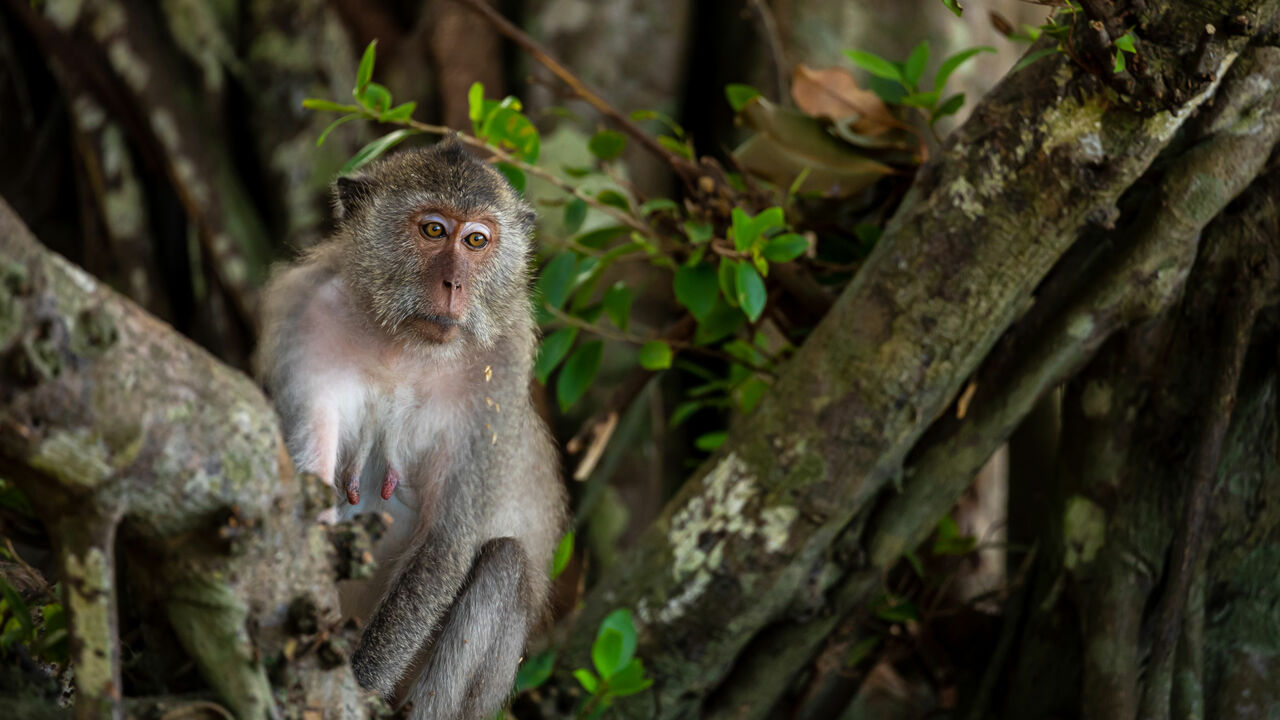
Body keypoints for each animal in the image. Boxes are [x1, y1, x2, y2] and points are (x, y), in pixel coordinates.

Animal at [252, 141, 563, 717]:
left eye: (477, 240)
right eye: (434, 230)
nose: (454, 284)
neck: (402, 344)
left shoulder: (502, 362)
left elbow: (447, 542)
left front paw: (360, 681)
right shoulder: (303, 321)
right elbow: (306, 501)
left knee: (503, 564)